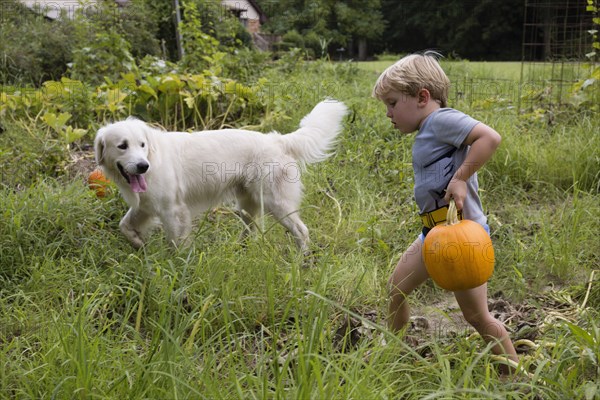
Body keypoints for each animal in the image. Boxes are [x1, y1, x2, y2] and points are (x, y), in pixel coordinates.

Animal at [94, 98, 346, 252]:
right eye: (123, 146)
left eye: (142, 145)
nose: (142, 166)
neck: (154, 158)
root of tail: (278, 139)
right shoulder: (144, 206)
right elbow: (124, 225)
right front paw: (138, 242)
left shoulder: (173, 210)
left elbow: (176, 244)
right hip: (247, 206)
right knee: (252, 232)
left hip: (276, 203)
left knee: (301, 231)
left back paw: (301, 261)